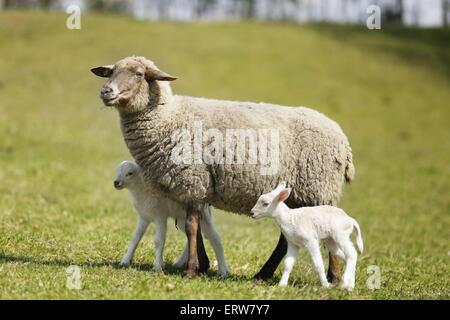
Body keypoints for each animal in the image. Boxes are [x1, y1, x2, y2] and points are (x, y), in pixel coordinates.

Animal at [89, 56, 354, 278]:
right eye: (111, 72)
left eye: (139, 74)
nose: (106, 91)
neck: (168, 117)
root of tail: (342, 139)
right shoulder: (191, 189)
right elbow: (193, 228)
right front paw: (201, 266)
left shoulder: (193, 180)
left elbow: (191, 227)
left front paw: (192, 270)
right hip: (296, 195)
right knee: (284, 238)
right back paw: (263, 274)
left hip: (320, 190)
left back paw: (333, 277)